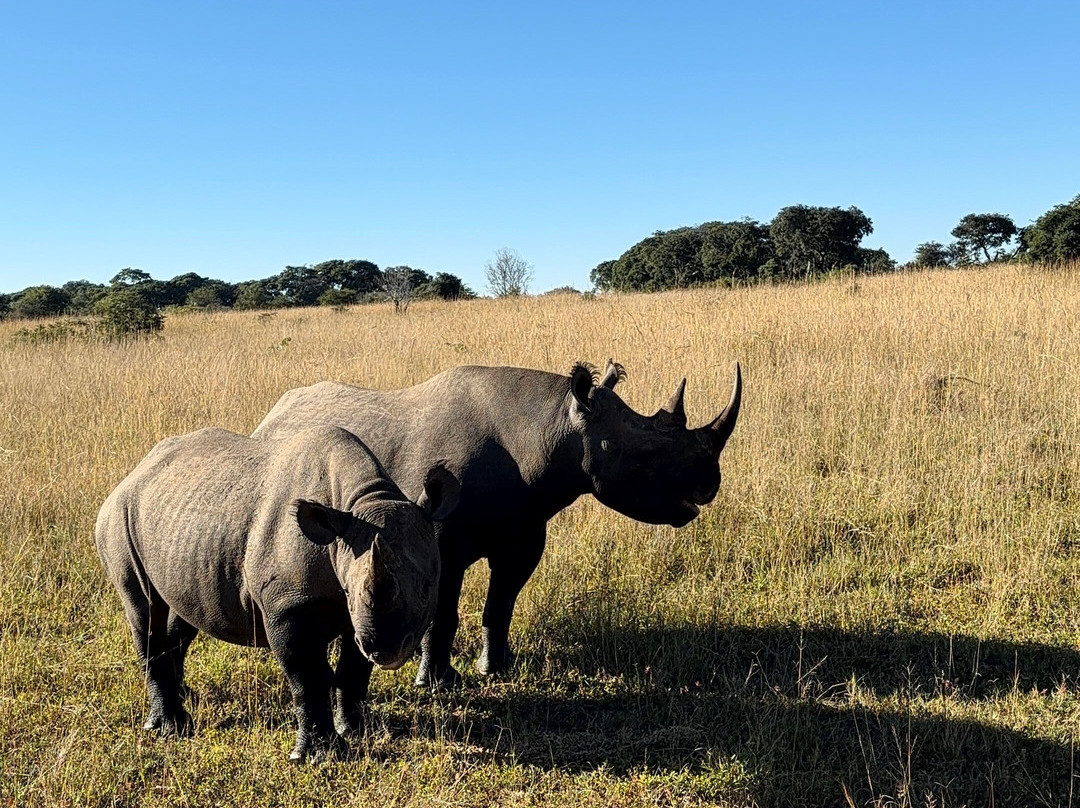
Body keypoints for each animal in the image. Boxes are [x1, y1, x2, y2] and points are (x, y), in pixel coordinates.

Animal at [96, 424, 459, 761]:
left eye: (428, 587)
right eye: (347, 590)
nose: (387, 650)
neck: (364, 499)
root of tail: (134, 472)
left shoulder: (359, 617)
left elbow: (355, 669)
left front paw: (356, 729)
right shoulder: (287, 607)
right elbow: (307, 678)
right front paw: (317, 756)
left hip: (182, 528)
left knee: (184, 610)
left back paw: (185, 697)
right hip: (119, 518)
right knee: (146, 611)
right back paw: (171, 728)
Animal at [252, 360, 741, 689]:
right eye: (647, 455)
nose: (710, 484)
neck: (550, 428)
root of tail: (272, 415)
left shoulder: (524, 532)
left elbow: (502, 603)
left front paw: (497, 668)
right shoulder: (437, 541)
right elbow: (444, 612)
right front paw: (437, 683)